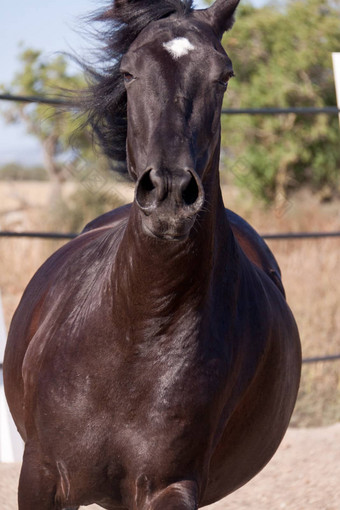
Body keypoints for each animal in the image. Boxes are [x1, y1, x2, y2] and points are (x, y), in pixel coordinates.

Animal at [2, 0, 300, 510]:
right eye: (128, 71)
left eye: (223, 76)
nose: (170, 193)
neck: (136, 329)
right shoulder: (40, 475)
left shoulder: (169, 486)